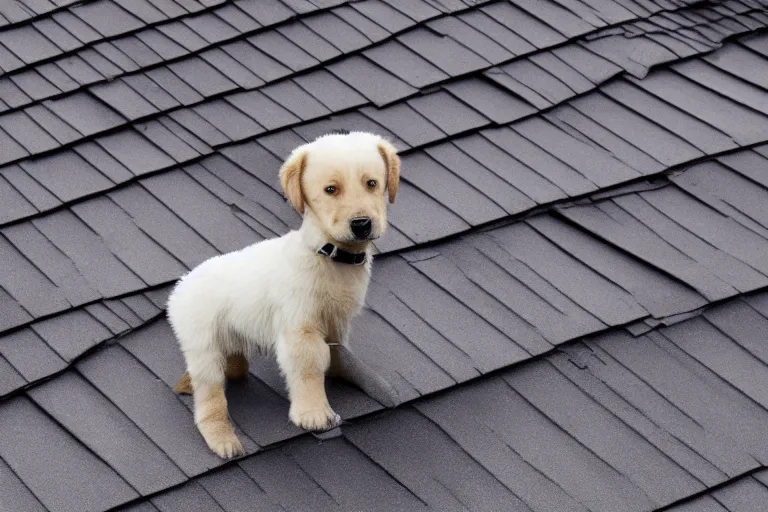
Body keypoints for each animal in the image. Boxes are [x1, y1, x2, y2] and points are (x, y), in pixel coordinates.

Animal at [167, 130, 402, 458]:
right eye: (331, 189)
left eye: (372, 183)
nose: (361, 224)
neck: (326, 255)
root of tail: (179, 288)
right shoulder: (299, 329)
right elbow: (309, 366)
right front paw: (313, 413)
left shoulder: (337, 322)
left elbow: (338, 353)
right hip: (204, 346)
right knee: (210, 396)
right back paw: (222, 439)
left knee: (233, 364)